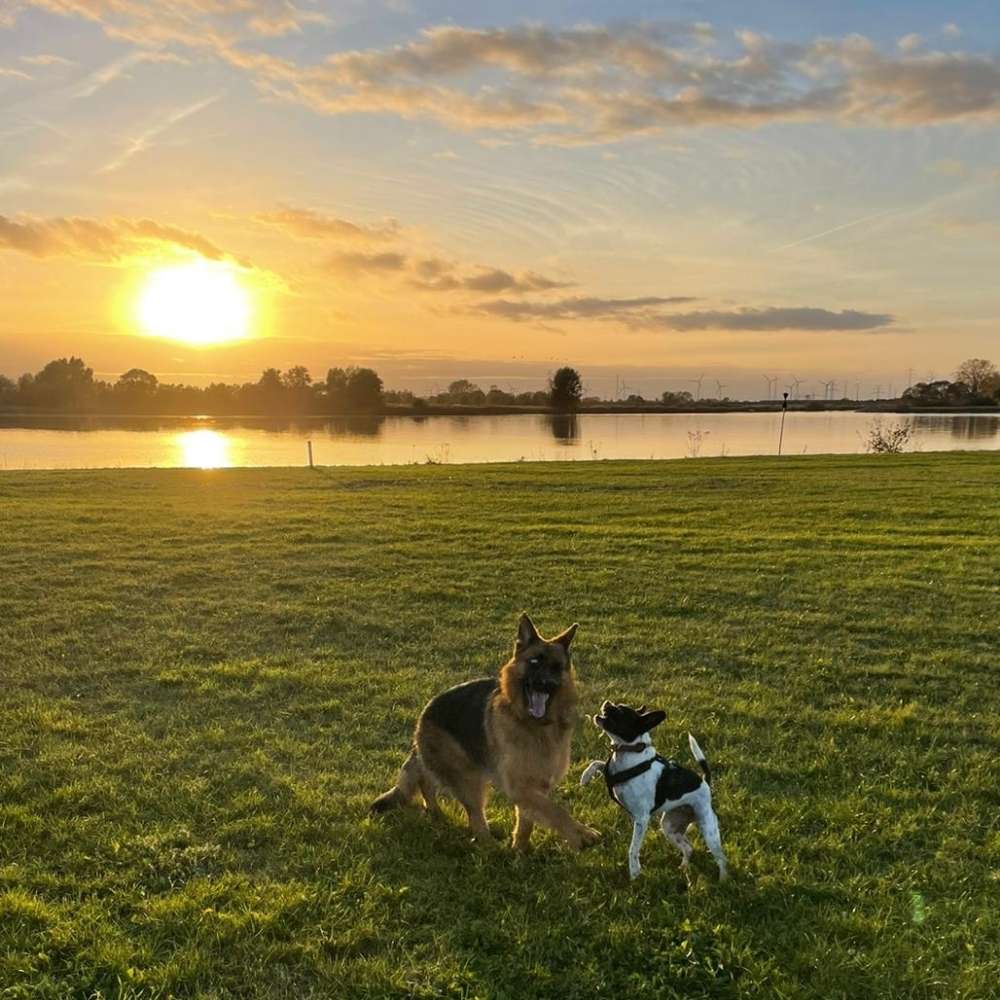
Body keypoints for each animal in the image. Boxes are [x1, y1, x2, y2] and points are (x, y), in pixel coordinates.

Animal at [370, 612, 596, 848]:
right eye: (534, 662)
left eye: (556, 667)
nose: (546, 683)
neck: (533, 725)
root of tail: (423, 717)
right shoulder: (519, 785)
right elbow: (555, 811)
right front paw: (580, 833)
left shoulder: (535, 785)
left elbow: (528, 819)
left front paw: (520, 848)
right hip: (467, 778)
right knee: (473, 814)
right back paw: (488, 844)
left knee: (426, 780)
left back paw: (435, 812)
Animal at [580, 700, 728, 880]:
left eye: (620, 712)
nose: (608, 703)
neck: (630, 752)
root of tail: (705, 781)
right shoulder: (611, 773)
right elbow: (597, 762)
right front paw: (585, 777)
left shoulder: (641, 818)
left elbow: (633, 849)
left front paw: (634, 872)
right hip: (670, 827)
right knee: (688, 847)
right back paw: (684, 867)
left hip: (709, 830)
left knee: (721, 858)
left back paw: (723, 879)